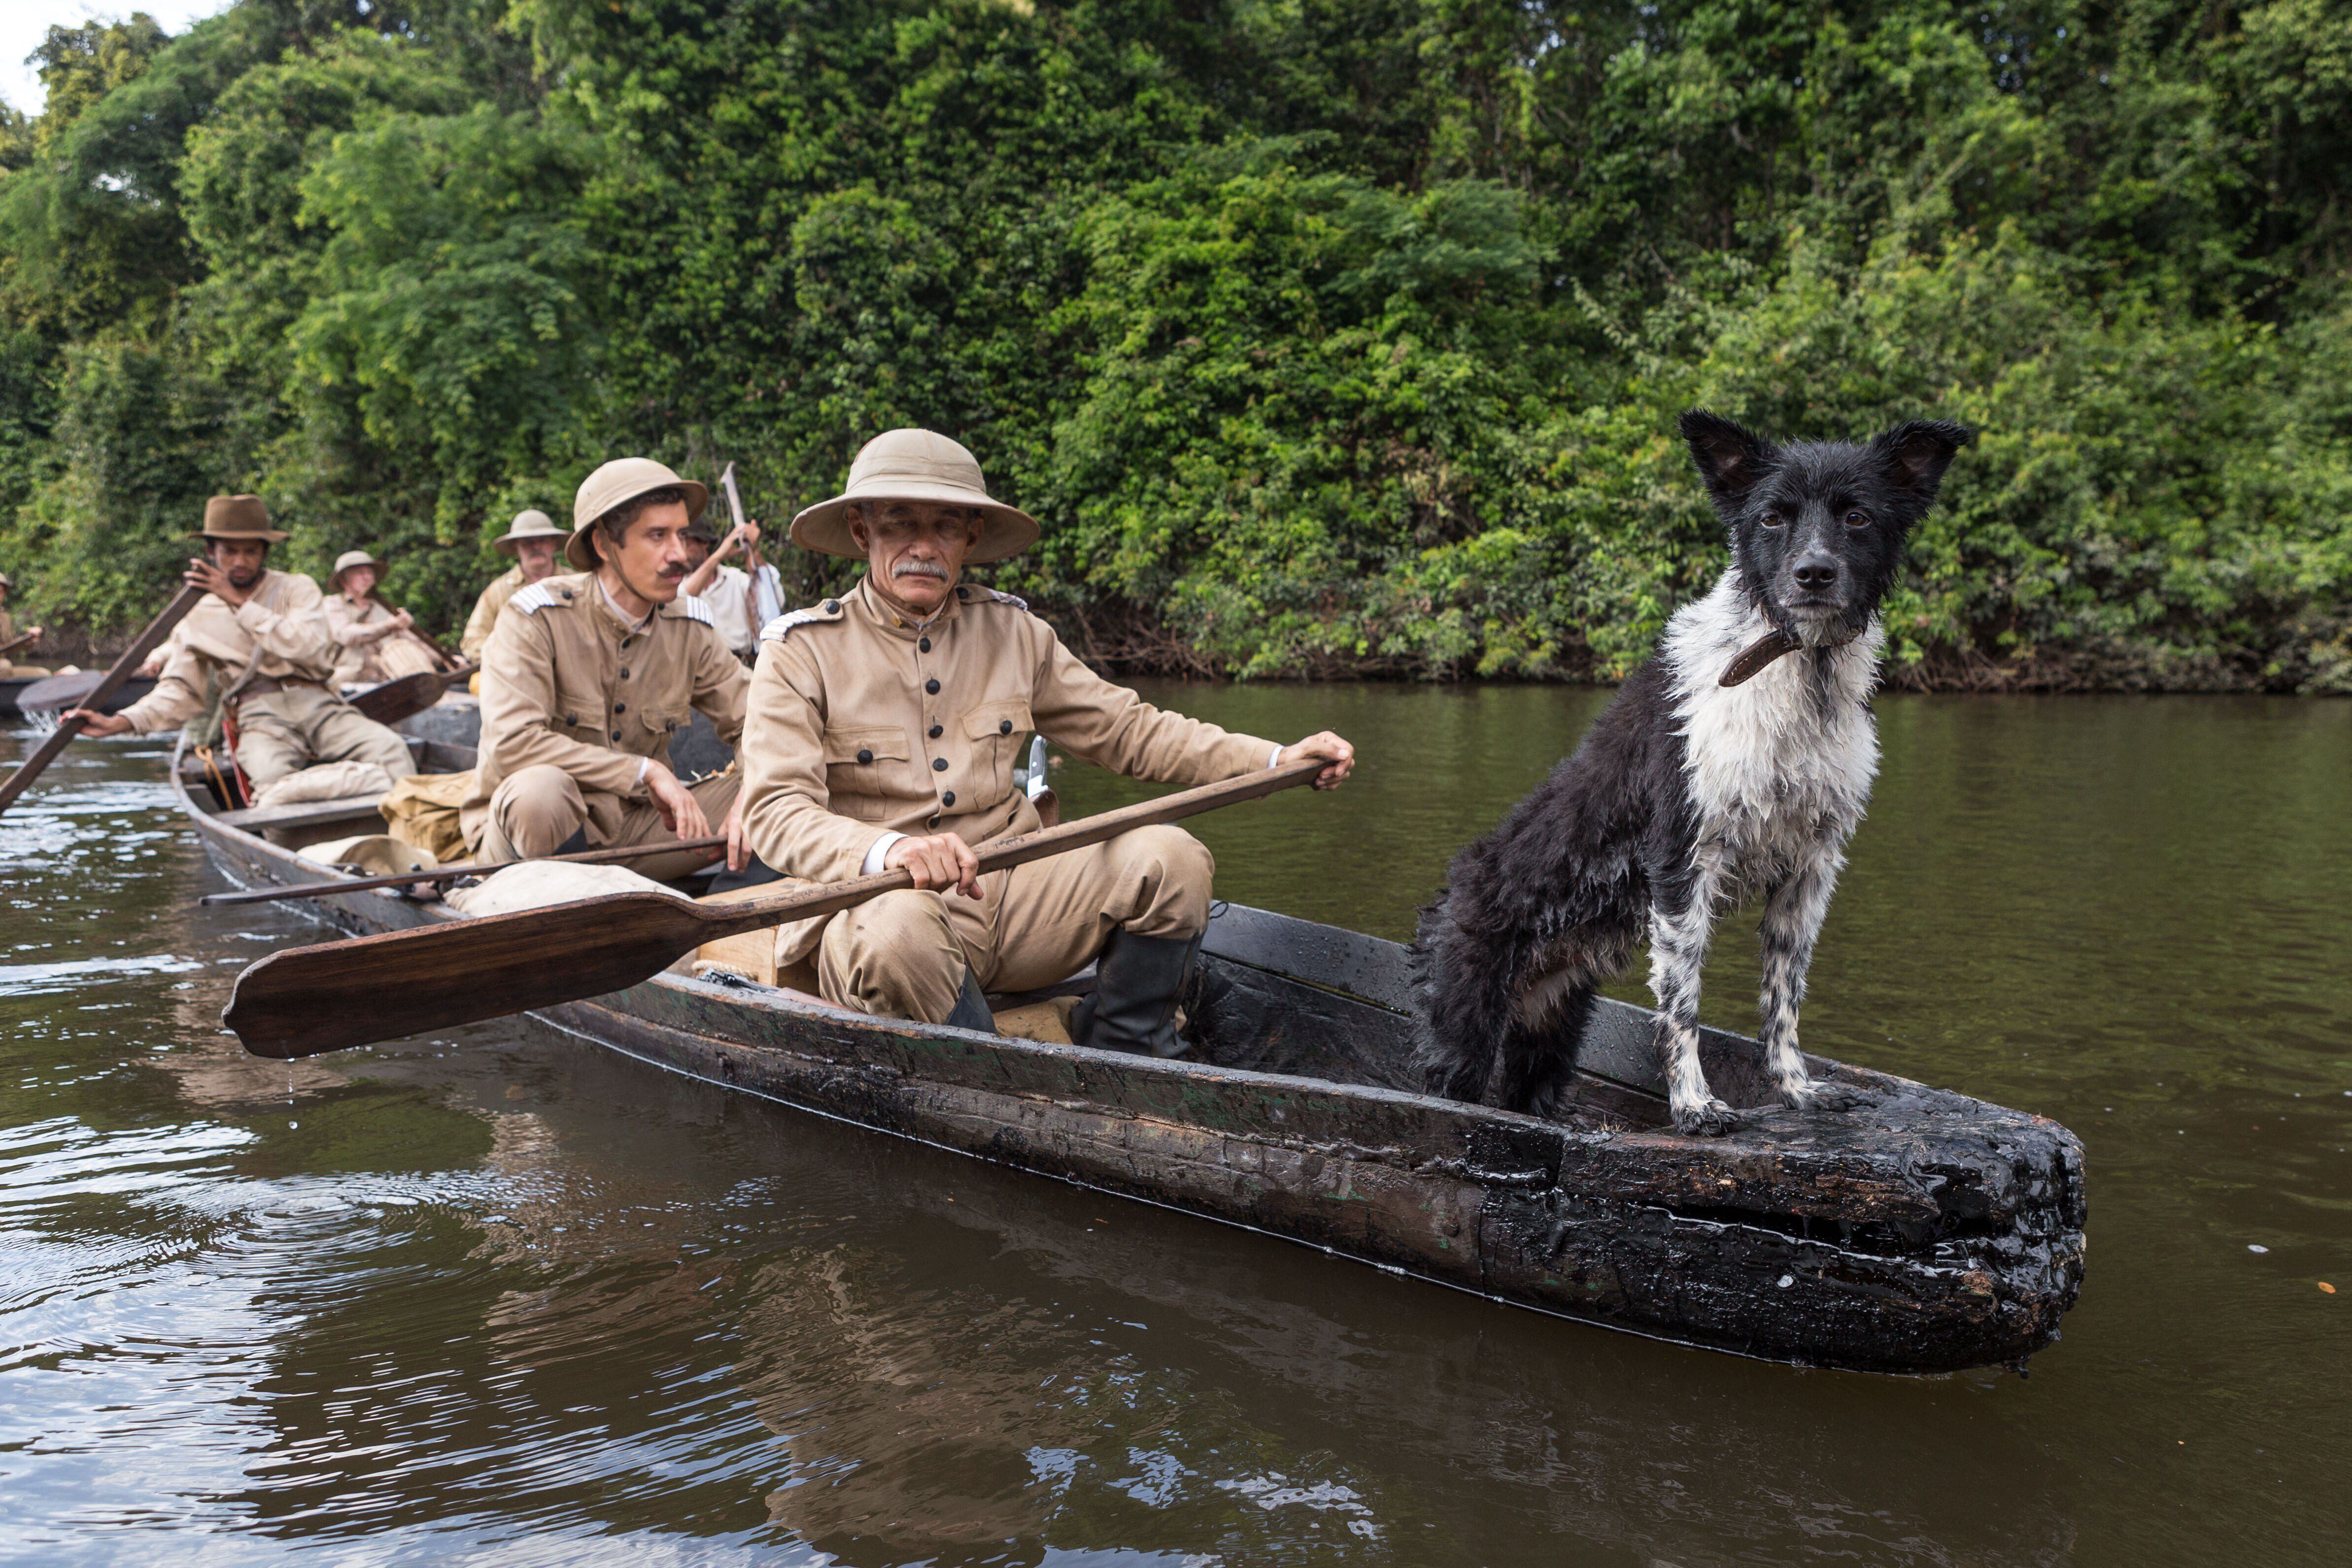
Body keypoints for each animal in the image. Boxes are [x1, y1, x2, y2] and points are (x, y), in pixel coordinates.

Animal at [1401, 411, 1976, 1133]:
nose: (1813, 573)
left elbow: (1783, 996)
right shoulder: (1682, 856)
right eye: (1772, 517)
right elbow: (1683, 1003)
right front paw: (1695, 1104)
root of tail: (1446, 896)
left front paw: (1796, 1089)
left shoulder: (1810, 868)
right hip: (1464, 1031)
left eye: (1858, 516)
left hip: (1551, 1034)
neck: (1793, 665)